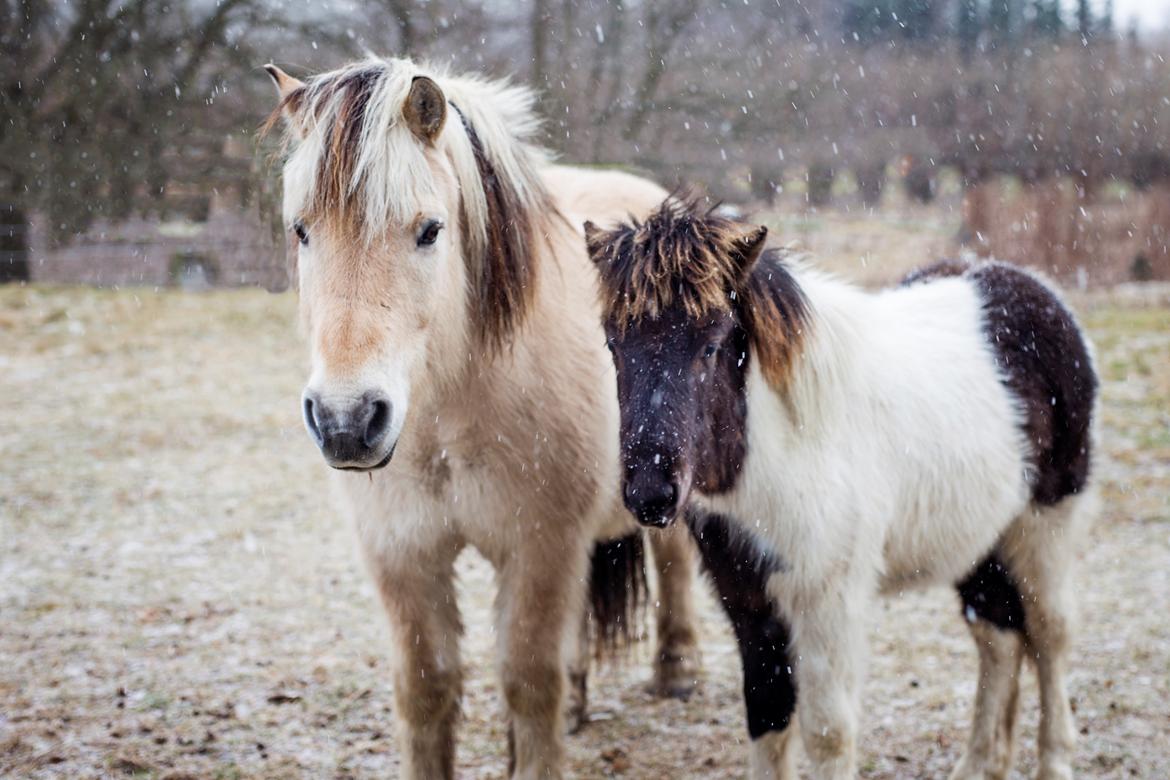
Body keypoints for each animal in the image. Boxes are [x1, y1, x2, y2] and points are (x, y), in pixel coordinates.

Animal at [259, 56, 697, 780]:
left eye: (430, 230)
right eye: (301, 230)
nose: (348, 419)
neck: (446, 415)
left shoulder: (540, 544)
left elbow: (528, 679)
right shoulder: (403, 553)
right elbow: (428, 687)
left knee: (674, 557)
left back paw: (677, 671)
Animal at [589, 199, 1099, 780]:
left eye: (713, 343)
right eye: (613, 343)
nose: (651, 494)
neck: (786, 445)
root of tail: (1041, 294)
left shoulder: (827, 602)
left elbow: (829, 734)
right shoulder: (749, 604)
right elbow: (767, 720)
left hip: (1046, 526)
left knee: (1050, 634)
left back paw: (1054, 760)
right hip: (978, 542)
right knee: (999, 636)